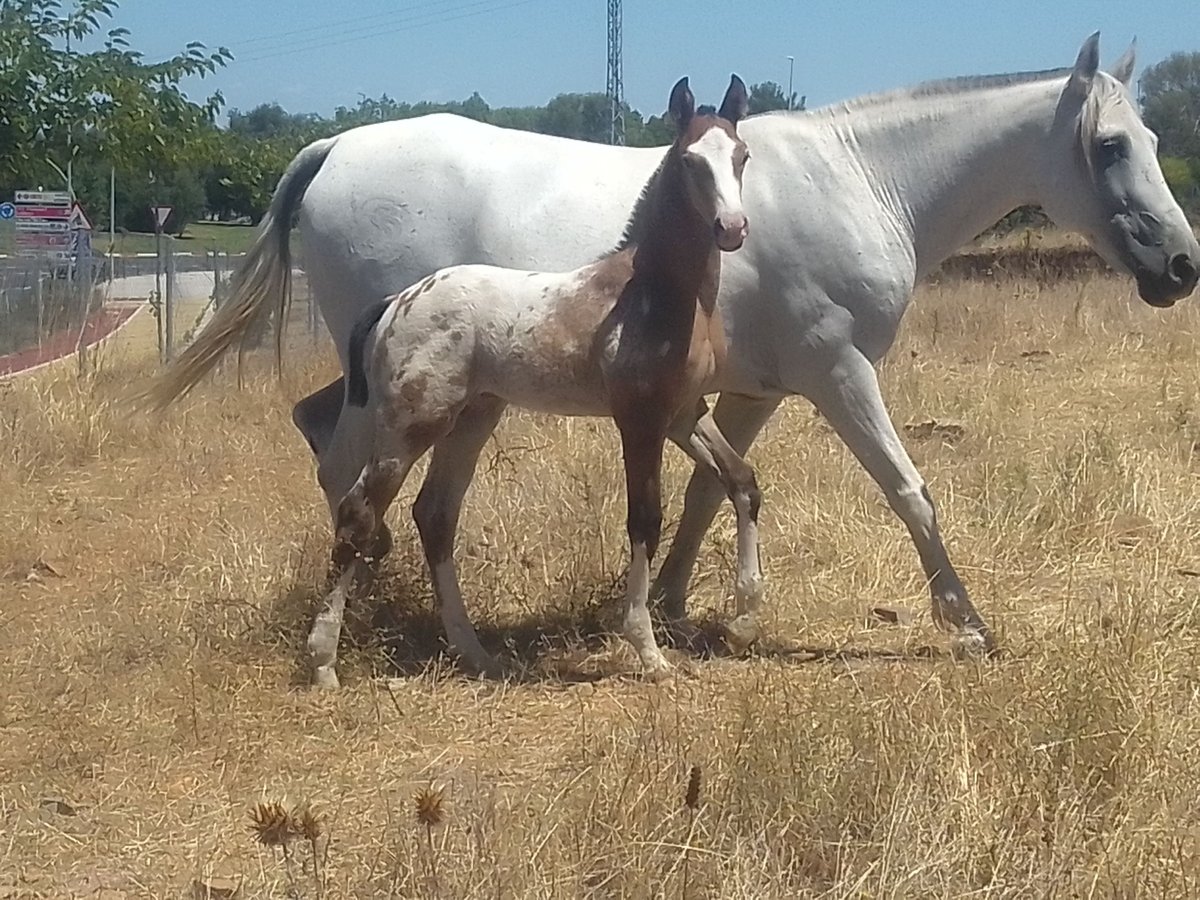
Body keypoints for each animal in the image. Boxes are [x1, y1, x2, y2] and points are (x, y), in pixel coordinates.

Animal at [152, 35, 1200, 657]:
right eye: (1111, 146)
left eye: (1153, 138)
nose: (1182, 263)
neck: (861, 179)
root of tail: (333, 148)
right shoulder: (839, 374)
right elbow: (911, 490)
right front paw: (969, 623)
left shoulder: (750, 391)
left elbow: (706, 492)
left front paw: (674, 607)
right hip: (396, 385)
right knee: (344, 465)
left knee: (331, 443)